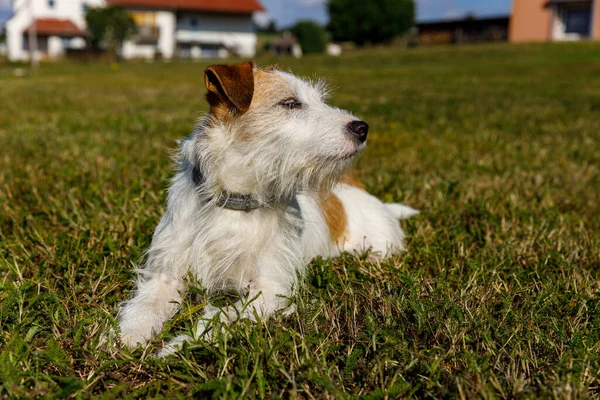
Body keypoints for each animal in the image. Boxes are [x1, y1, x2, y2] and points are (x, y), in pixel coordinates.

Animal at [117, 61, 418, 356]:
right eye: (290, 104)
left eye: (320, 101)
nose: (362, 128)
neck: (236, 201)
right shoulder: (164, 276)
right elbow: (143, 308)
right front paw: (126, 339)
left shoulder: (270, 290)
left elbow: (222, 316)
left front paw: (179, 345)